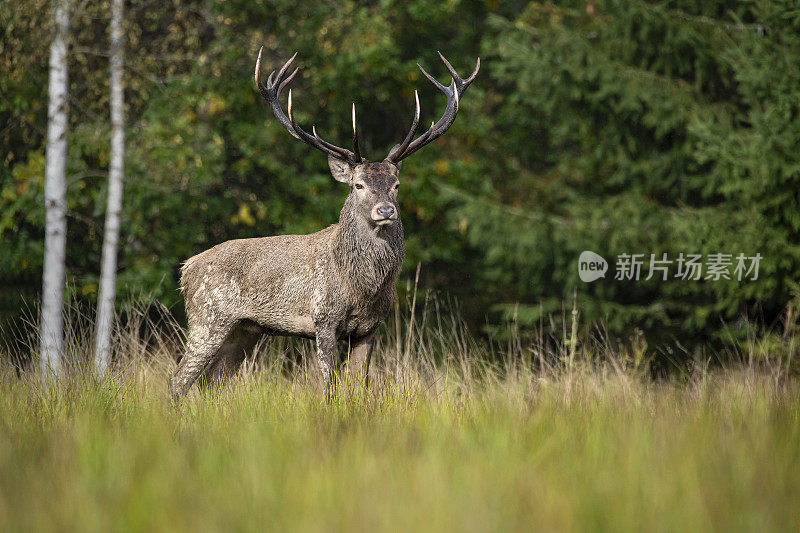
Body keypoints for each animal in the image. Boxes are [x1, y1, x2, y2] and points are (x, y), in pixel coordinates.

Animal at [170, 48, 478, 400]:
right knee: (178, 381)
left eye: (396, 185)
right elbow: (328, 389)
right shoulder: (323, 320)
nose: (386, 211)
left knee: (212, 382)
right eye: (358, 185)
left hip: (244, 329)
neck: (362, 288)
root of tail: (186, 268)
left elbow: (359, 387)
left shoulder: (370, 328)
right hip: (206, 318)